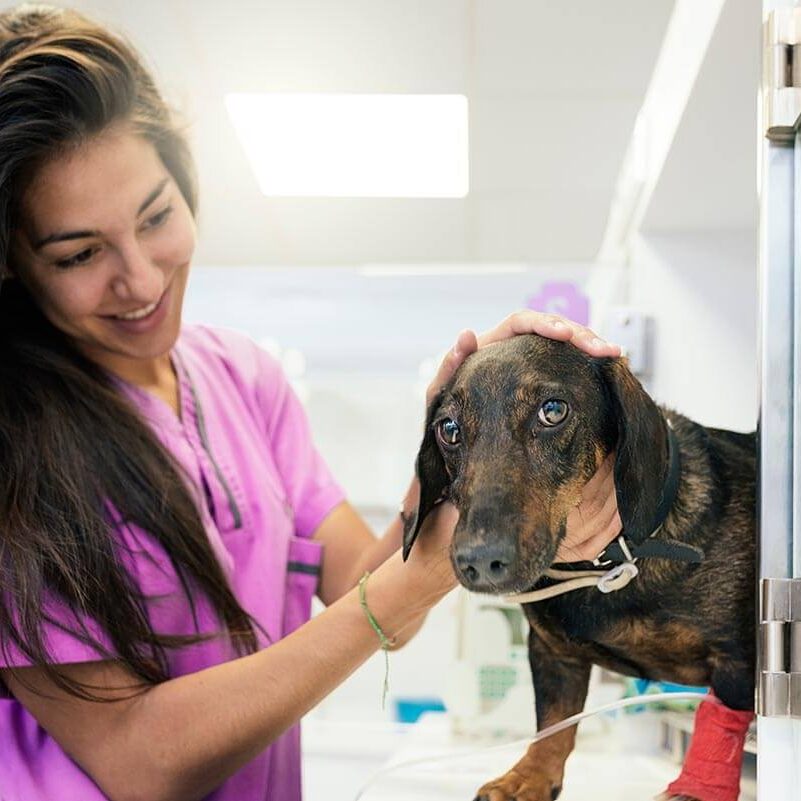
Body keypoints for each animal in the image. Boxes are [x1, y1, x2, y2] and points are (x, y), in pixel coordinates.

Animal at [404, 334, 752, 800]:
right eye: (449, 429)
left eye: (553, 411)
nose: (478, 560)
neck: (609, 565)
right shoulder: (553, 653)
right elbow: (554, 723)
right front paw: (529, 778)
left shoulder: (736, 662)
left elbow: (722, 723)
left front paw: (698, 789)